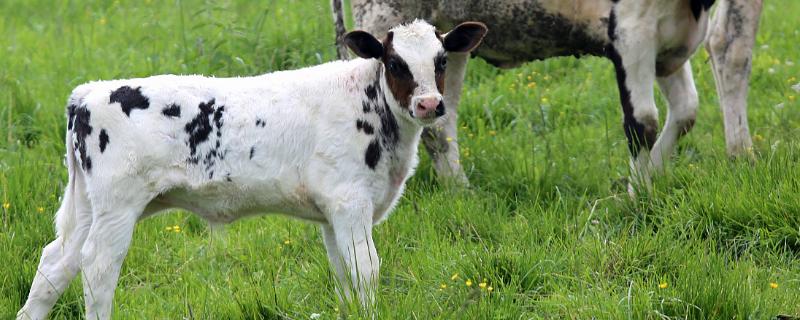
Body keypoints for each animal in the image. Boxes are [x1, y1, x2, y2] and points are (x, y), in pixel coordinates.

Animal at [17, 20, 488, 320]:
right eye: (394, 63)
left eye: (441, 60)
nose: (429, 104)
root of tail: (90, 92)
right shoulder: (350, 202)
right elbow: (365, 269)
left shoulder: (331, 212)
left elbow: (343, 275)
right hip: (117, 206)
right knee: (98, 266)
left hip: (88, 207)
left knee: (56, 264)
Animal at [332, 0, 764, 189]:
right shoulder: (633, 30)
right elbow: (643, 121)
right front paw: (637, 195)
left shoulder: (671, 41)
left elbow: (687, 110)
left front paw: (653, 176)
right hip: (383, 19)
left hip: (448, 42)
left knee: (442, 122)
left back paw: (459, 188)